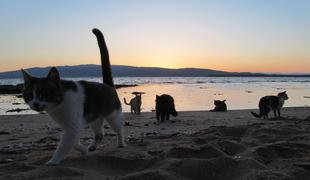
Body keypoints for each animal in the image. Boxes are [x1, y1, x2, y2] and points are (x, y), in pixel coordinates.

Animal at [20, 28, 125, 165]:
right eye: (29, 96)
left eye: (44, 94)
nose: (35, 103)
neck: (58, 106)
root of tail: (108, 86)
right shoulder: (70, 126)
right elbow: (72, 142)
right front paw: (83, 150)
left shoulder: (73, 126)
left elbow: (64, 145)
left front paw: (53, 161)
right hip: (95, 118)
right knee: (99, 134)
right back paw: (92, 146)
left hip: (113, 116)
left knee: (119, 129)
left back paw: (121, 143)